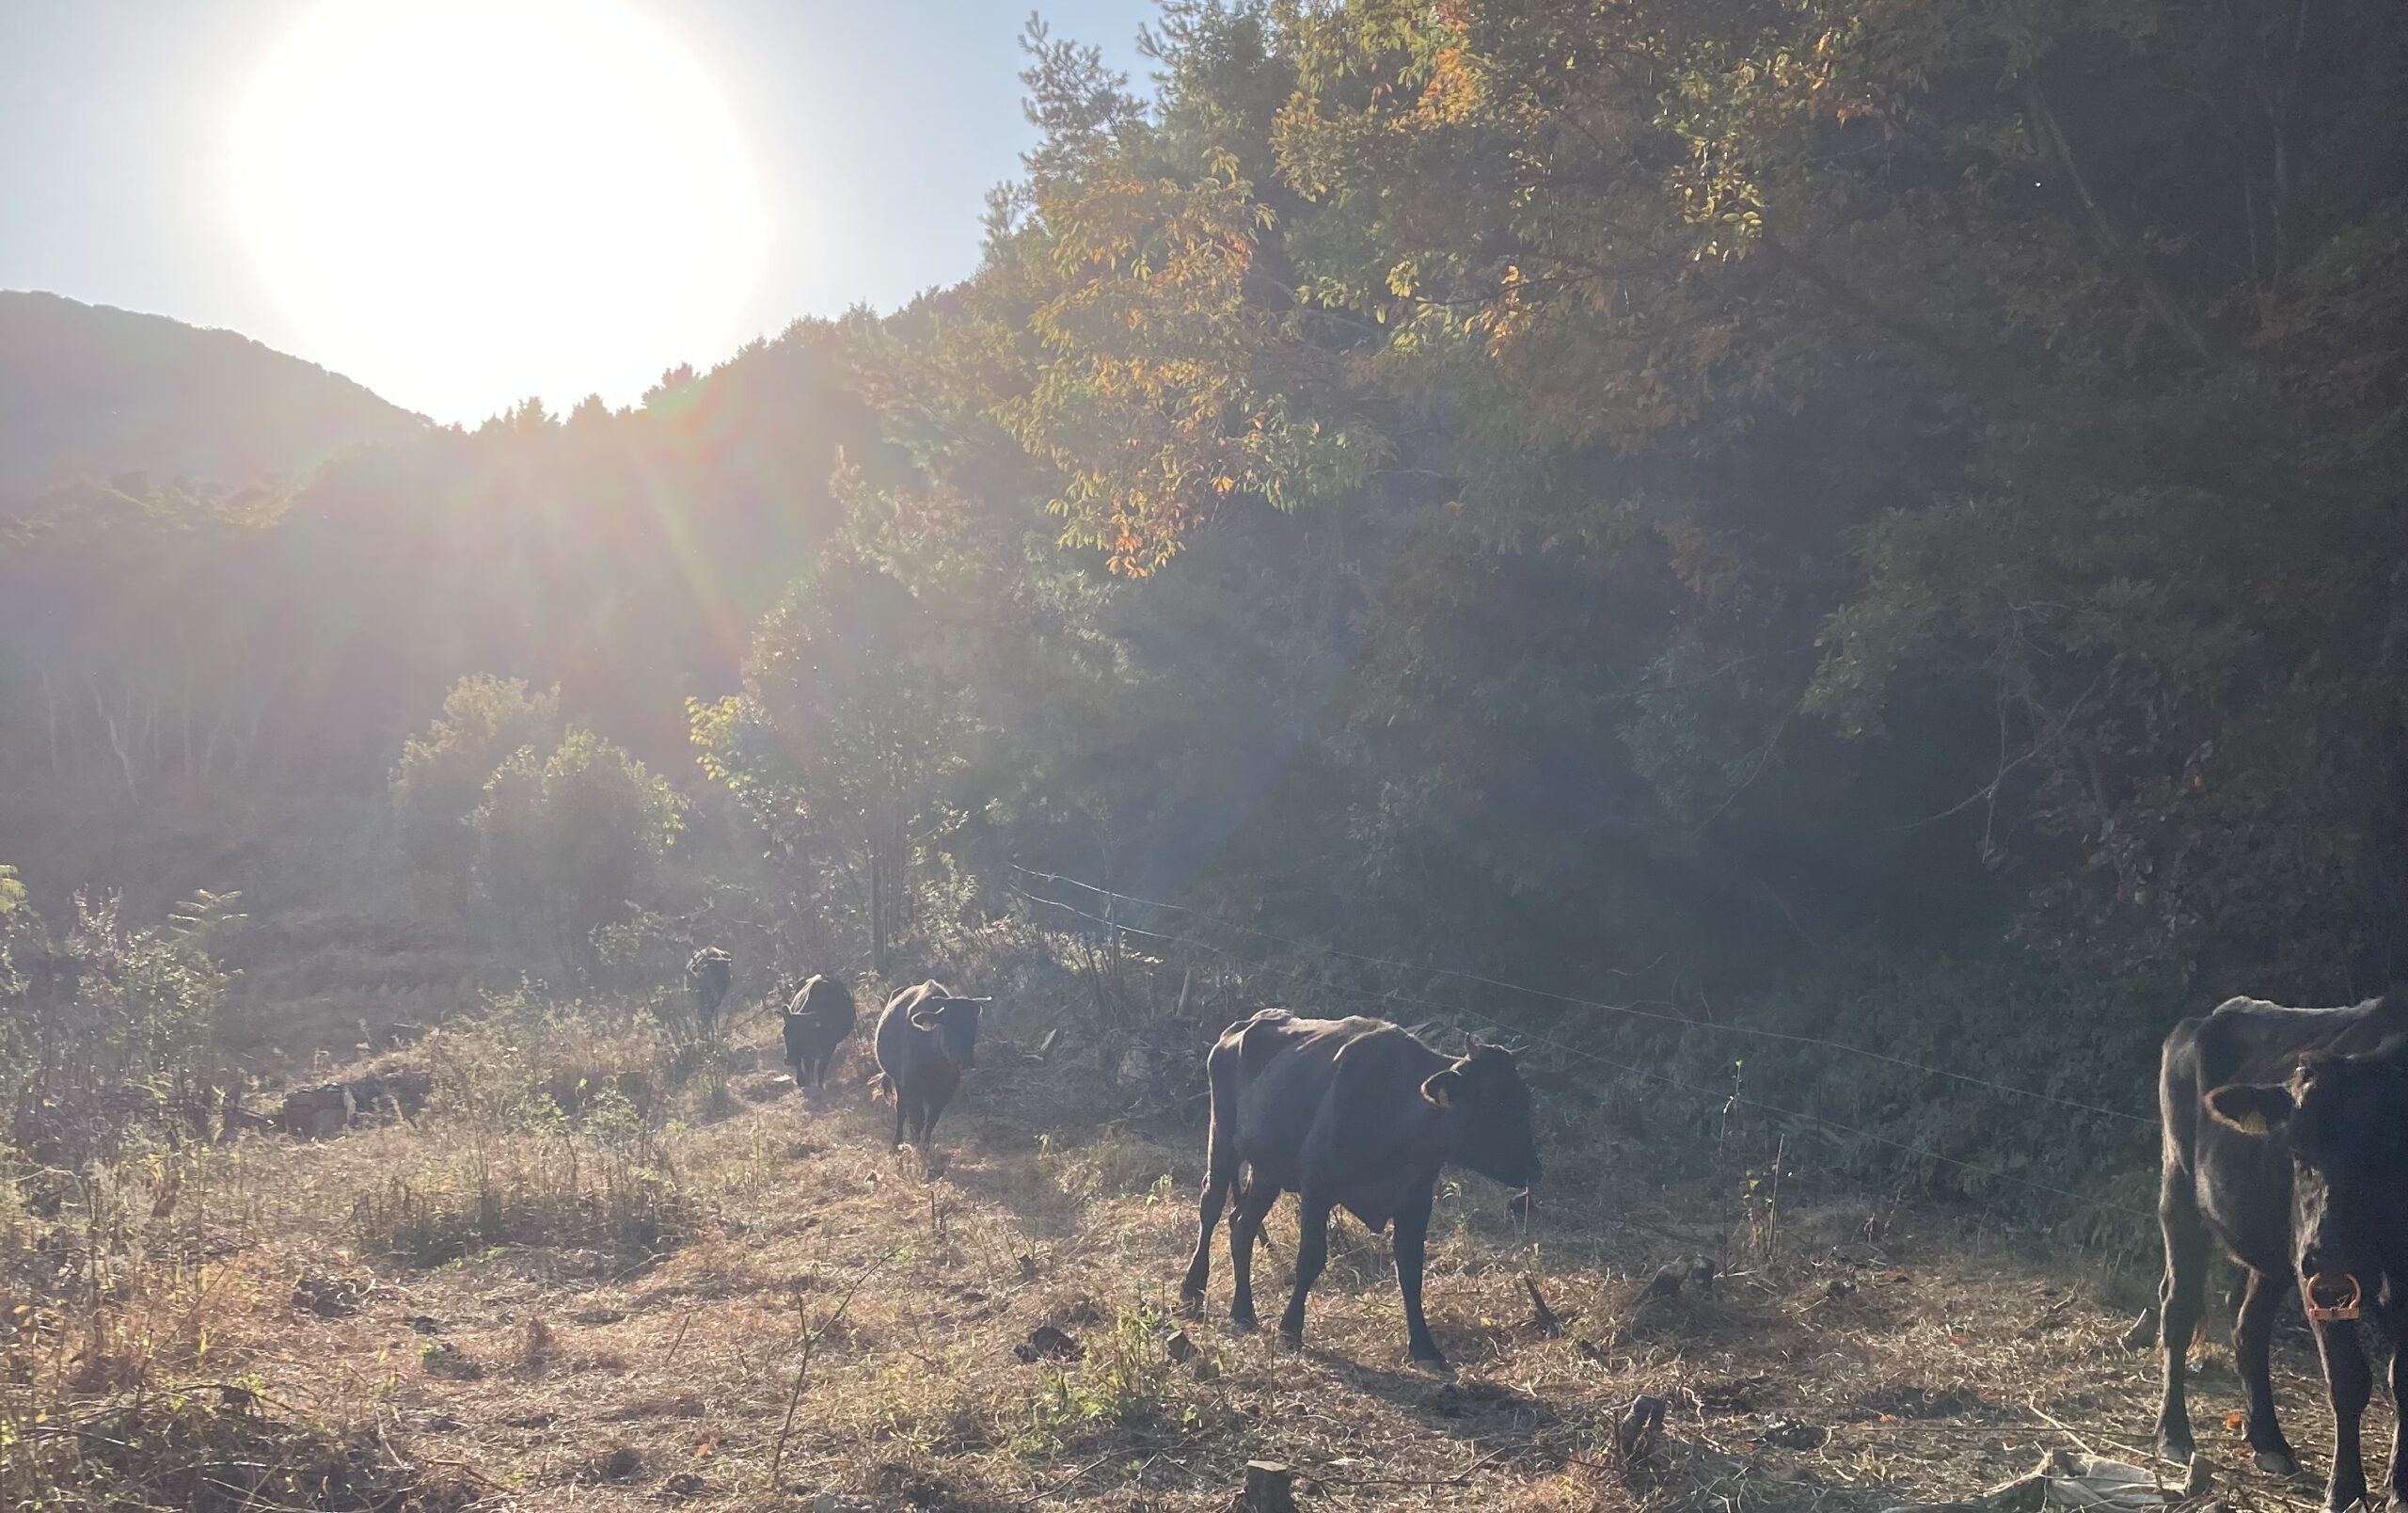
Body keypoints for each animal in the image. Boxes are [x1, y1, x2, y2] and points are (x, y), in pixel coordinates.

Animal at [871, 987, 982, 1151]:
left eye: (973, 1025)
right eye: (948, 1024)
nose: (966, 1062)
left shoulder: (944, 1093)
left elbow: (931, 1121)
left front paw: (925, 1148)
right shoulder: (911, 1088)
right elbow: (917, 1120)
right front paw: (918, 1150)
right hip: (898, 1082)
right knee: (901, 1109)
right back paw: (896, 1144)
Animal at [1170, 1011, 1541, 1368]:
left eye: (1524, 1098)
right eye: (1492, 1102)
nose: (1532, 1167)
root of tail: (1242, 1026)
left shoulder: (1416, 1200)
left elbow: (1410, 1270)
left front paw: (1425, 1348)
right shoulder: (1316, 1187)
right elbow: (1311, 1258)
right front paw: (1290, 1328)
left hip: (1266, 1171)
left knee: (1242, 1226)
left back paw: (1244, 1311)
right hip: (1221, 1140)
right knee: (1211, 1207)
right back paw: (1193, 1290)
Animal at [2157, 992, 2398, 1512]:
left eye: (2384, 1150)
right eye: (2294, 1150)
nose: (2327, 1253)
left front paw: (2400, 1485)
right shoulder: (2324, 1284)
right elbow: (2348, 1380)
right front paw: (2346, 1491)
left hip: (2274, 1250)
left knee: (2247, 1322)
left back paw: (2268, 1441)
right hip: (2179, 1190)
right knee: (2178, 1307)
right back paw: (2174, 1435)